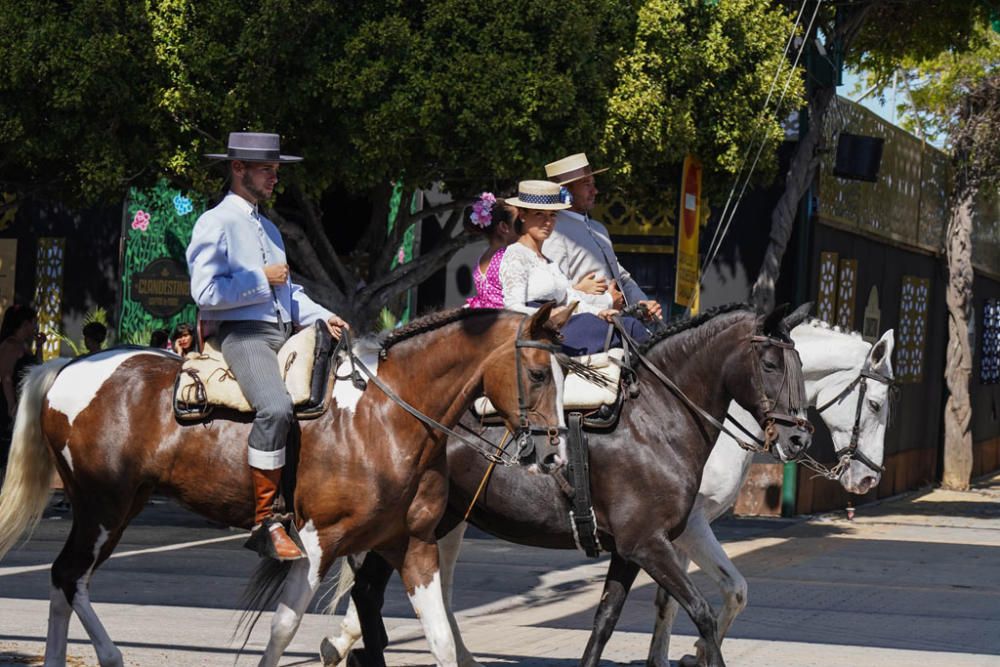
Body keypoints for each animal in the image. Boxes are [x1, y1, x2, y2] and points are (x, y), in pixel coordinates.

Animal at [0, 306, 576, 667]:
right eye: (537, 373)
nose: (554, 455)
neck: (386, 416)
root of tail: (69, 365)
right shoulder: (319, 542)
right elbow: (283, 628)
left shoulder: (413, 545)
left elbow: (440, 638)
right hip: (103, 505)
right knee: (69, 576)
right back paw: (111, 655)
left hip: (117, 506)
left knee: (65, 580)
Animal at [324, 320, 896, 664]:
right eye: (875, 404)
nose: (868, 478)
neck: (661, 416)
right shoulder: (672, 534)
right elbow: (710, 601)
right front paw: (690, 652)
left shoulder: (647, 542)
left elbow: (632, 613)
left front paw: (668, 654)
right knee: (387, 587)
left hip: (445, 517)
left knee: (396, 588)